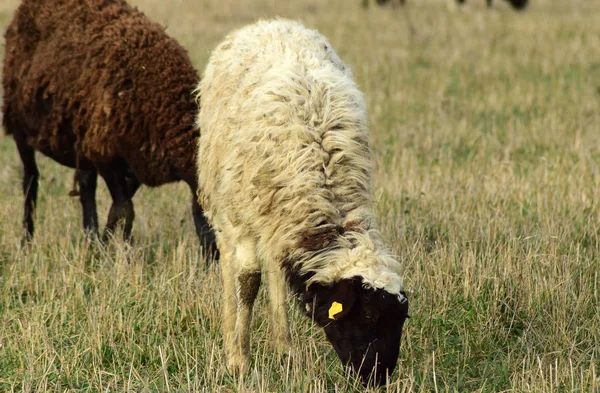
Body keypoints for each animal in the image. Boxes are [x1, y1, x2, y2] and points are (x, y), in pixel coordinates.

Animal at [1, 0, 218, 258]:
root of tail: (24, 9)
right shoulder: (105, 154)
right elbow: (124, 209)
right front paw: (121, 255)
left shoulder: (136, 163)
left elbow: (118, 207)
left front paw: (104, 248)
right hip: (20, 129)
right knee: (31, 180)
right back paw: (27, 241)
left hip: (81, 141)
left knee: (86, 187)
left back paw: (90, 238)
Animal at [195, 19, 410, 386]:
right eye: (367, 314)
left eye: (400, 320)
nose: (376, 379)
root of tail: (270, 22)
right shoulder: (245, 218)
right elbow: (247, 283)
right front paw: (238, 360)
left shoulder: (283, 221)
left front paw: (286, 356)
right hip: (223, 200)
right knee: (228, 267)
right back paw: (229, 332)